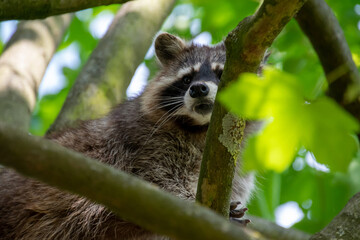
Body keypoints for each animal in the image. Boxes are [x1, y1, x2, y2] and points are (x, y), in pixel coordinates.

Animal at [0, 32, 256, 239]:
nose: (198, 89)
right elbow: (157, 184)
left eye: (220, 74)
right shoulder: (142, 141)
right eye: (186, 79)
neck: (201, 128)